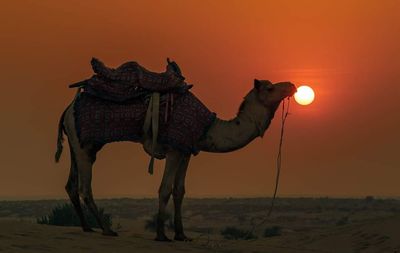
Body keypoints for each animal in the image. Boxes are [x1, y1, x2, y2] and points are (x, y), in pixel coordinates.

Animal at [54, 79, 296, 241]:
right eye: (270, 87)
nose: (293, 86)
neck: (207, 127)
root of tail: (66, 111)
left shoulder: (185, 151)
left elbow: (179, 191)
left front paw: (181, 234)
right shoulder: (173, 150)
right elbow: (165, 188)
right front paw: (162, 235)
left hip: (77, 144)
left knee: (71, 185)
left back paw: (86, 227)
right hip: (84, 146)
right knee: (85, 187)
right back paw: (107, 229)